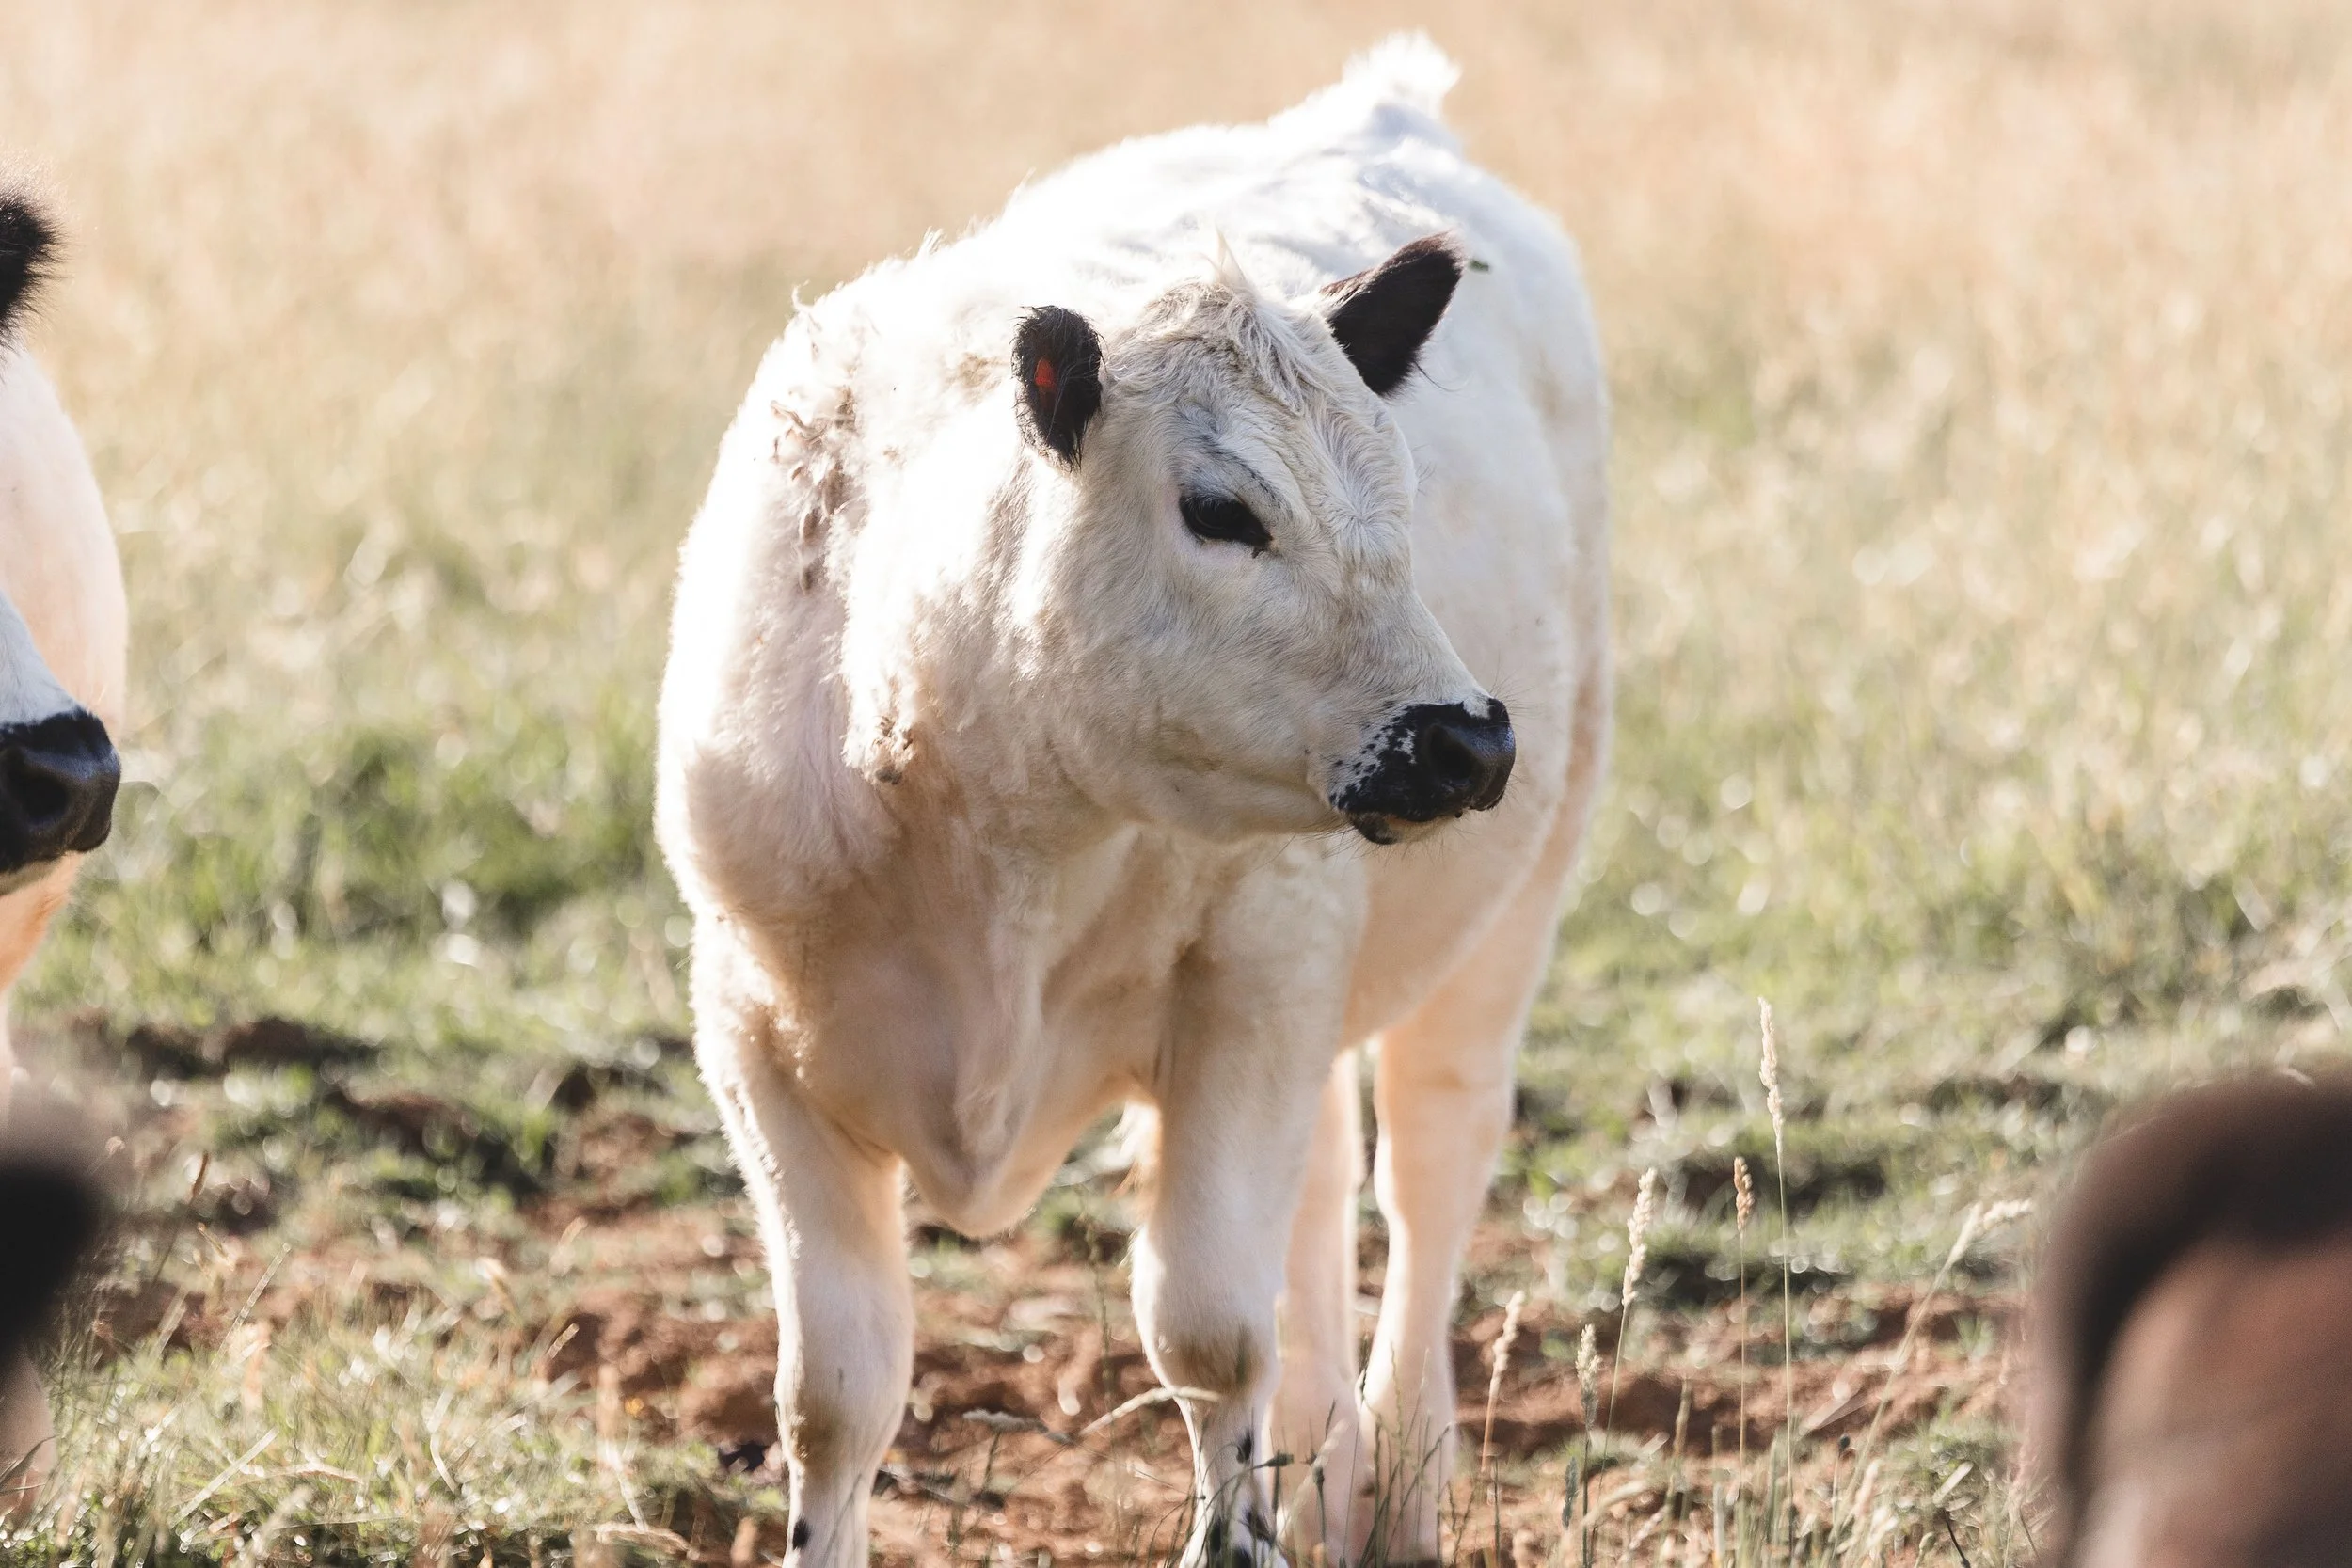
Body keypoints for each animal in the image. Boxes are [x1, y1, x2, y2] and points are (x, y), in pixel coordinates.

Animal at [656, 36, 1607, 1566]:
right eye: (1220, 508)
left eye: (1399, 494)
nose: (1461, 738)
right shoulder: (752, 1033)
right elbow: (834, 1393)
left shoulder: (1247, 990)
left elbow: (1212, 1334)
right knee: (1320, 1203)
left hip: (1506, 910)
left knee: (1428, 1170)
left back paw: (1397, 1489)